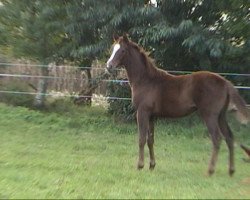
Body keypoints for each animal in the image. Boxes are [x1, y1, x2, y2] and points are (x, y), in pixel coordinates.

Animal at [105, 35, 248, 176]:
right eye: (113, 49)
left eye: (122, 50)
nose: (109, 66)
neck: (146, 80)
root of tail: (225, 82)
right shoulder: (152, 116)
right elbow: (150, 140)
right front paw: (152, 165)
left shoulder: (142, 112)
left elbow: (141, 139)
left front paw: (140, 166)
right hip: (221, 116)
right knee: (229, 137)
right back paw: (231, 170)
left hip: (210, 116)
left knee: (217, 138)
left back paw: (210, 171)